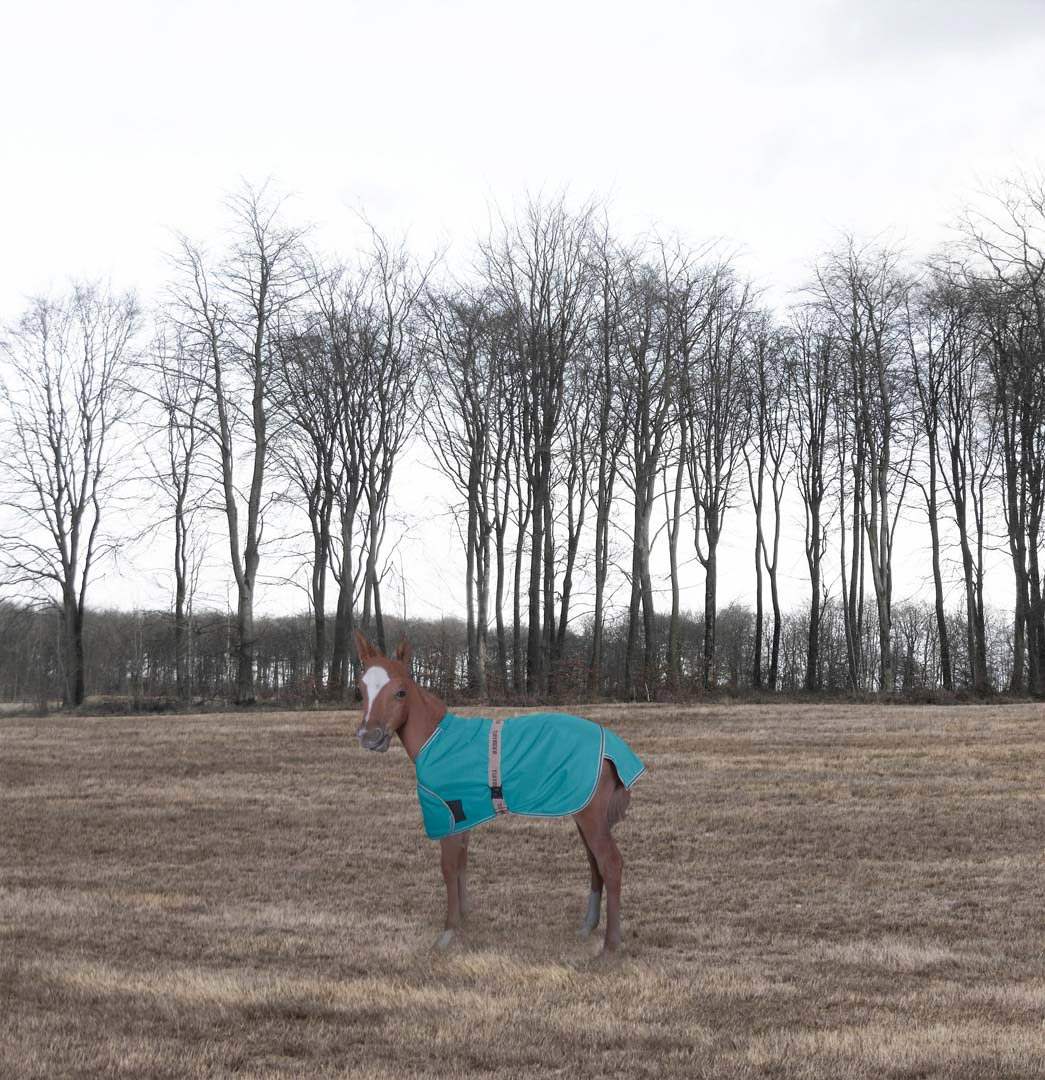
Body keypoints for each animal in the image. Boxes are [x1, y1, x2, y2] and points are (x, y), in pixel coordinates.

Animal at [352, 631, 645, 954]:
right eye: (361, 688)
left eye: (401, 692)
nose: (369, 737)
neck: (436, 740)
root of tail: (613, 747)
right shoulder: (464, 814)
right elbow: (462, 863)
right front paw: (464, 918)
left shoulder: (447, 814)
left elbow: (448, 867)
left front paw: (448, 932)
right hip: (583, 813)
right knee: (595, 864)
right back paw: (587, 927)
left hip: (591, 816)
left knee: (611, 864)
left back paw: (610, 946)